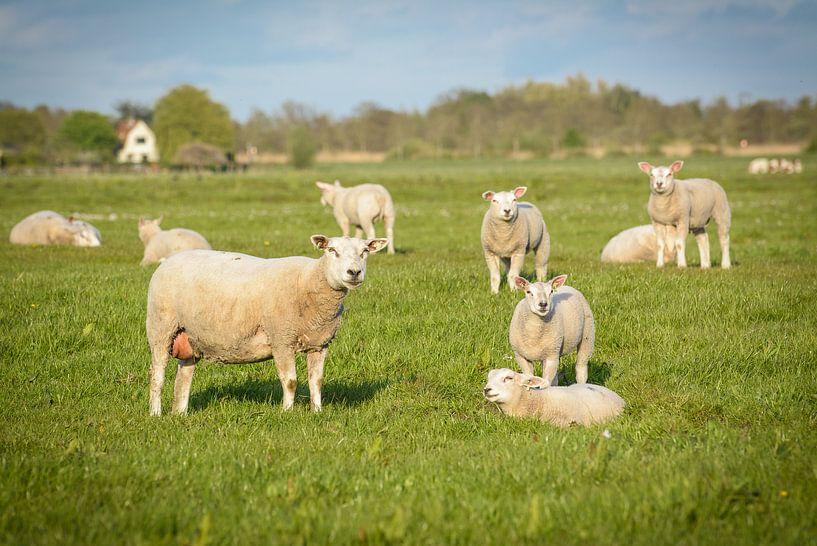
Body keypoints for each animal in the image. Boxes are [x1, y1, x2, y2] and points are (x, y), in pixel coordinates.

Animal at [146, 234, 389, 416]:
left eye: (364, 251)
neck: (308, 281)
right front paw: (287, 412)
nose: (354, 272)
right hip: (161, 328)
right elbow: (290, 381)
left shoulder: (320, 343)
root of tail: (169, 260)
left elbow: (316, 381)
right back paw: (156, 414)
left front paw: (317, 411)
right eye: (332, 250)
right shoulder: (281, 338)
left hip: (190, 335)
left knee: (183, 377)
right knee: (157, 375)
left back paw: (180, 413)